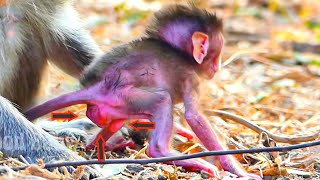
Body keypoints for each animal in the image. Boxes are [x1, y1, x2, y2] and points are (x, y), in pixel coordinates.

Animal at [26, 4, 262, 179]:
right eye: (216, 54)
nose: (217, 67)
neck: (182, 54)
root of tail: (96, 86)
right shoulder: (191, 77)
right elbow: (194, 117)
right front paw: (236, 169)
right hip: (123, 97)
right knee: (162, 102)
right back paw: (167, 154)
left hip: (115, 107)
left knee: (114, 124)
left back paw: (105, 144)